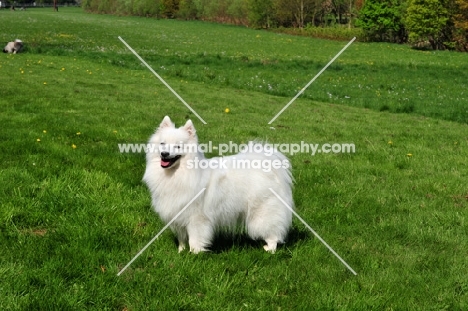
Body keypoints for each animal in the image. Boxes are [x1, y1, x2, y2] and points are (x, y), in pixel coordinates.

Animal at [144, 116, 294, 254]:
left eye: (178, 146)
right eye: (162, 144)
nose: (164, 154)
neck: (177, 174)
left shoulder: (196, 218)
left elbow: (194, 239)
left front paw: (194, 254)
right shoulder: (178, 215)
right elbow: (182, 238)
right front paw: (181, 251)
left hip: (262, 214)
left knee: (273, 232)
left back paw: (270, 249)